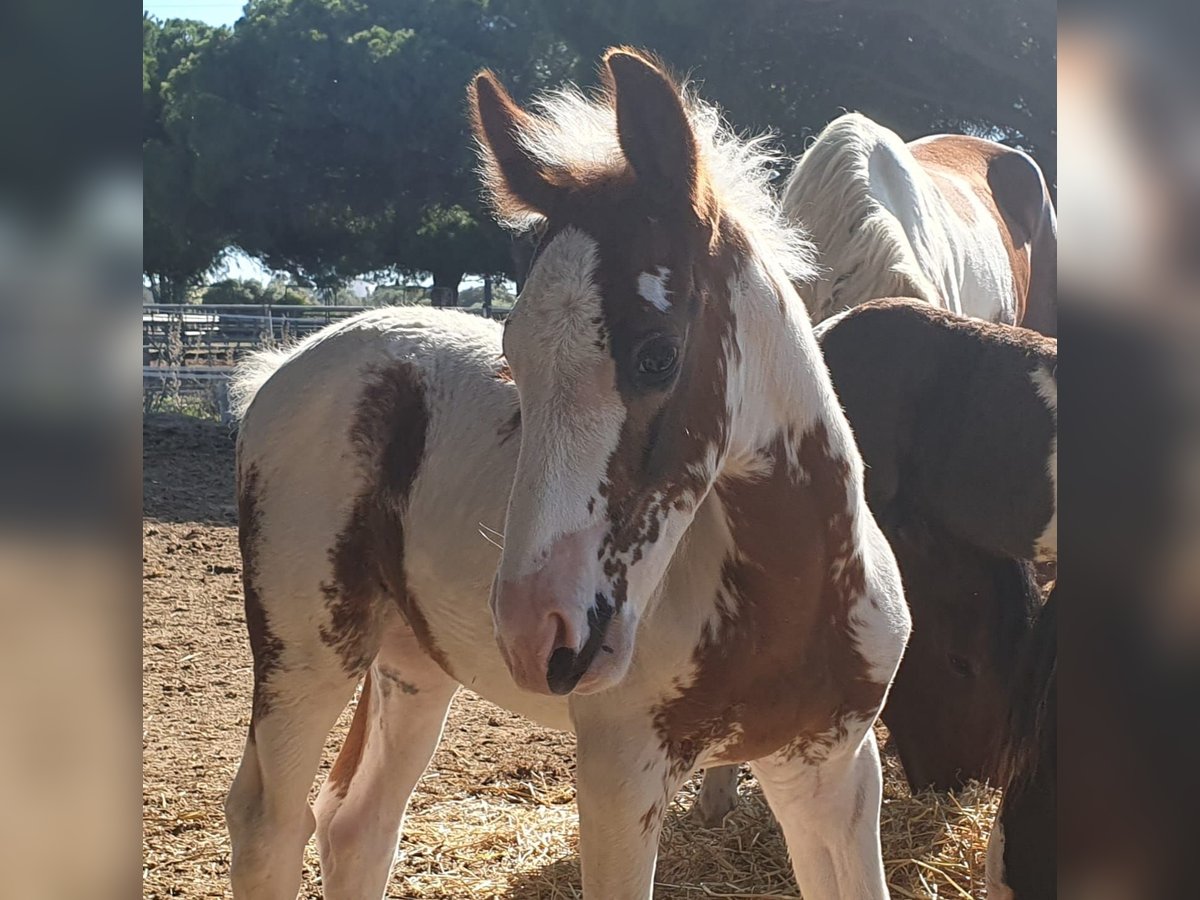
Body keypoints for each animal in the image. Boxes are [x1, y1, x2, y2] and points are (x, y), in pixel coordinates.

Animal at [223, 49, 907, 900]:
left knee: (358, 824)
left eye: (657, 354)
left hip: (413, 662)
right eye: (511, 360)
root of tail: (284, 363)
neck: (794, 596)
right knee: (270, 823)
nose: (535, 634)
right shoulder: (620, 773)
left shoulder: (830, 766)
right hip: (306, 646)